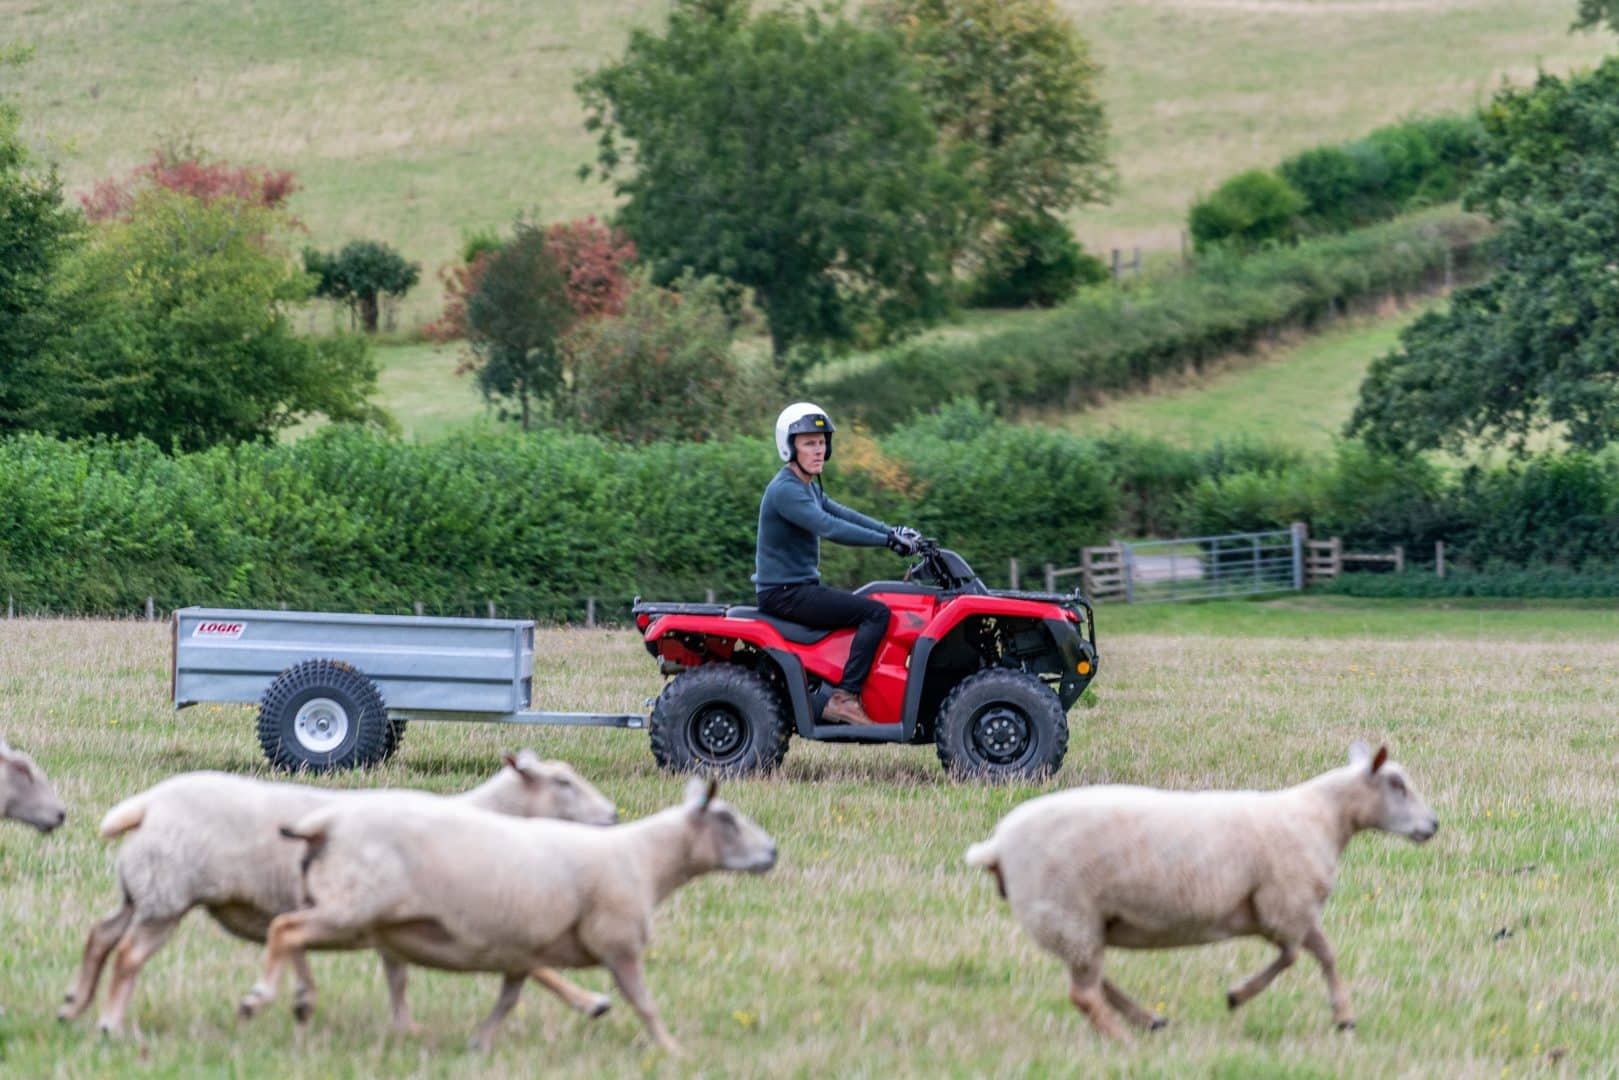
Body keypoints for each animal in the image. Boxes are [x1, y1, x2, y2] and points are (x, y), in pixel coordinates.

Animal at [59, 751, 615, 1036]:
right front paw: (592, 1002)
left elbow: (394, 977)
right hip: (167, 895)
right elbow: (540, 967)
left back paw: (73, 1005)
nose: (612, 816)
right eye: (563, 782)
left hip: (143, 889)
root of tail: (147, 804)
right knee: (127, 954)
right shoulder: (475, 919)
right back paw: (109, 1022)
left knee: (99, 936)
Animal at [964, 744, 1437, 1036]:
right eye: (1396, 785)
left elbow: (1319, 955)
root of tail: (996, 846)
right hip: (1068, 914)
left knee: (1094, 984)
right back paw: (1127, 1043)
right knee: (1083, 995)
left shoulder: (1287, 911)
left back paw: (1147, 1021)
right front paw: (1240, 996)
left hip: (1074, 923)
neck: (1322, 818)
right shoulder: (1285, 905)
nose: (1432, 825)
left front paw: (1342, 1016)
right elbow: (1298, 956)